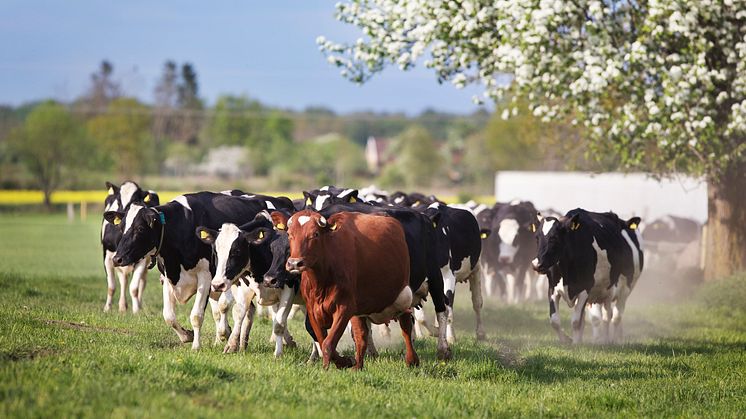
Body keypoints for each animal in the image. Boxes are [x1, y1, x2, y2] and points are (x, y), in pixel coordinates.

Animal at [100, 182, 160, 314]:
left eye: (135, 200)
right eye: (118, 201)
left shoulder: (142, 259)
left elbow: (134, 288)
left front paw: (136, 310)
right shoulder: (109, 257)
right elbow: (111, 286)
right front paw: (107, 308)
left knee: (142, 282)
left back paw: (138, 305)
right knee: (123, 280)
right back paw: (122, 306)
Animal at [104, 192, 294, 350]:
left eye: (140, 229)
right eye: (121, 228)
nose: (117, 259)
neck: (182, 226)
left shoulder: (206, 277)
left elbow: (197, 315)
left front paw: (196, 346)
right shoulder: (168, 276)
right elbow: (168, 316)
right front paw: (187, 336)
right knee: (250, 309)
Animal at [284, 210, 416, 370]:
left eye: (315, 234)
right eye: (289, 234)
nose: (294, 263)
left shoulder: (344, 307)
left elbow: (328, 343)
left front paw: (327, 368)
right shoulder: (312, 309)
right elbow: (323, 341)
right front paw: (346, 361)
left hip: (403, 296)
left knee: (406, 326)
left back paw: (412, 361)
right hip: (360, 310)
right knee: (361, 335)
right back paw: (358, 366)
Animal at [532, 210, 644, 344]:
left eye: (554, 238)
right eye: (537, 237)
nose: (537, 264)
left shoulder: (585, 289)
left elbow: (575, 321)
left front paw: (575, 343)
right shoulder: (553, 288)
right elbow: (555, 320)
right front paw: (567, 340)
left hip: (625, 289)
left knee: (615, 317)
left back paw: (612, 340)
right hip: (598, 294)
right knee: (601, 317)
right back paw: (599, 340)